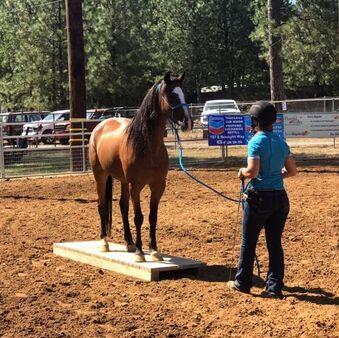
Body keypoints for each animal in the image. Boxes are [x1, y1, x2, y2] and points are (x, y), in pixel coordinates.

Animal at [88, 71, 194, 262]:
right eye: (172, 96)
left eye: (184, 94)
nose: (188, 123)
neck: (147, 145)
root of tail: (100, 126)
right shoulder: (135, 186)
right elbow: (139, 217)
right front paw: (140, 252)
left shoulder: (158, 186)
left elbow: (153, 216)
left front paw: (154, 250)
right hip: (100, 176)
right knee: (101, 205)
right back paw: (104, 243)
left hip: (123, 181)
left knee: (122, 206)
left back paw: (129, 243)